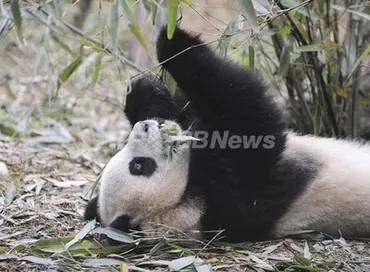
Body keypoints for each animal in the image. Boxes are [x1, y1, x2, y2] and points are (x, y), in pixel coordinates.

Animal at [84, 25, 370, 242]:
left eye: (133, 160)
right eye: (139, 166)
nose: (143, 128)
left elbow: (186, 112)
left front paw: (144, 92)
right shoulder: (236, 194)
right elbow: (247, 115)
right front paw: (173, 41)